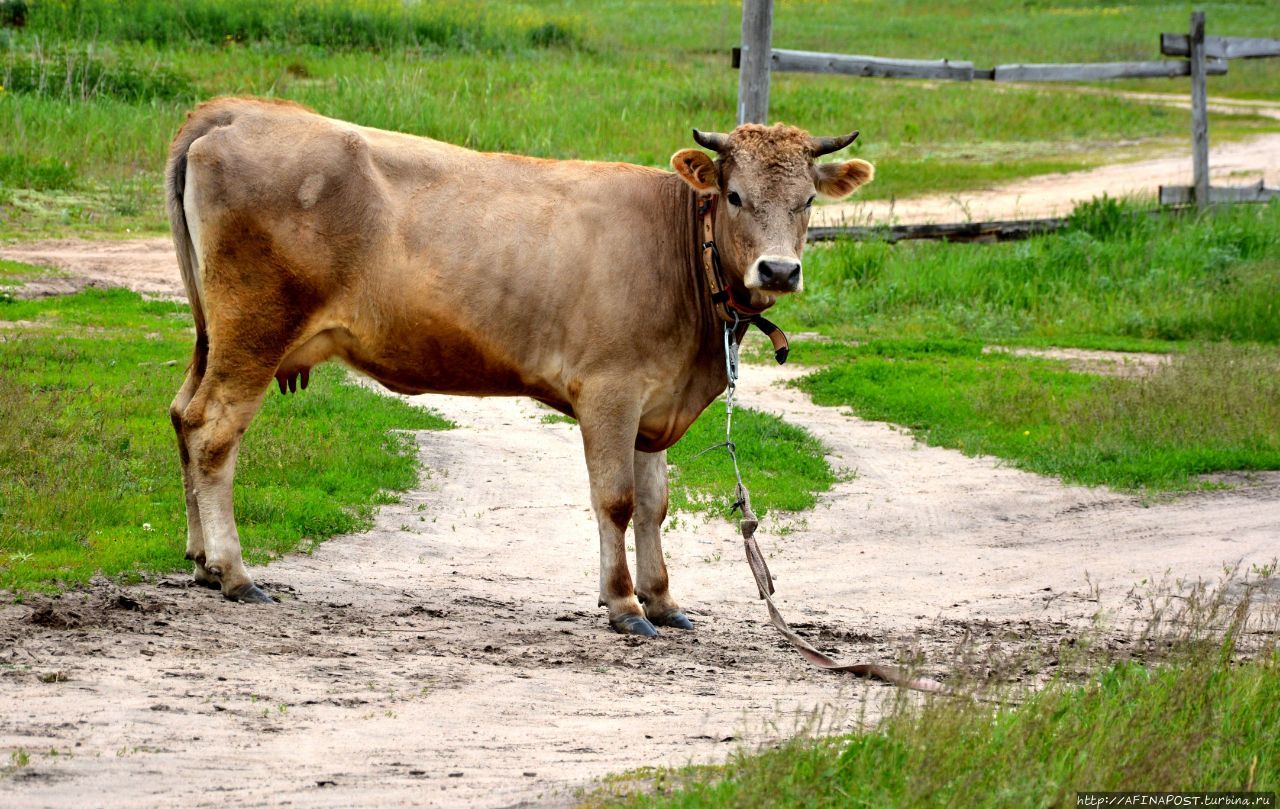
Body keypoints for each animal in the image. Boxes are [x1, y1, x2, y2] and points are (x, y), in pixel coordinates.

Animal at [165, 97, 875, 634]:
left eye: (808, 201)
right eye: (732, 195)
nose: (779, 270)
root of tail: (240, 111)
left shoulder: (654, 404)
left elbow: (655, 505)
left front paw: (664, 601)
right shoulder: (610, 392)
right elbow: (616, 500)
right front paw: (624, 606)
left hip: (213, 336)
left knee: (181, 415)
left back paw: (200, 561)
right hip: (254, 331)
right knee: (213, 431)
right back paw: (234, 574)